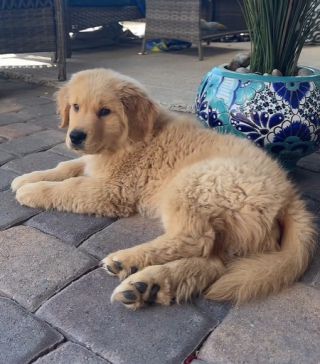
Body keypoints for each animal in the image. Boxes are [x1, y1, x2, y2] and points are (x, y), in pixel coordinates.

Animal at [11, 69, 316, 310]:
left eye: (105, 112)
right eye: (75, 107)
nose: (75, 136)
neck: (127, 141)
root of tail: (289, 194)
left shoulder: (112, 189)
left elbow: (70, 187)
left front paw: (32, 191)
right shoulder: (93, 164)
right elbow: (66, 166)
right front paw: (27, 178)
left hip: (192, 183)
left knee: (195, 239)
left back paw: (127, 260)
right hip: (232, 231)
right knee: (212, 263)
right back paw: (147, 285)